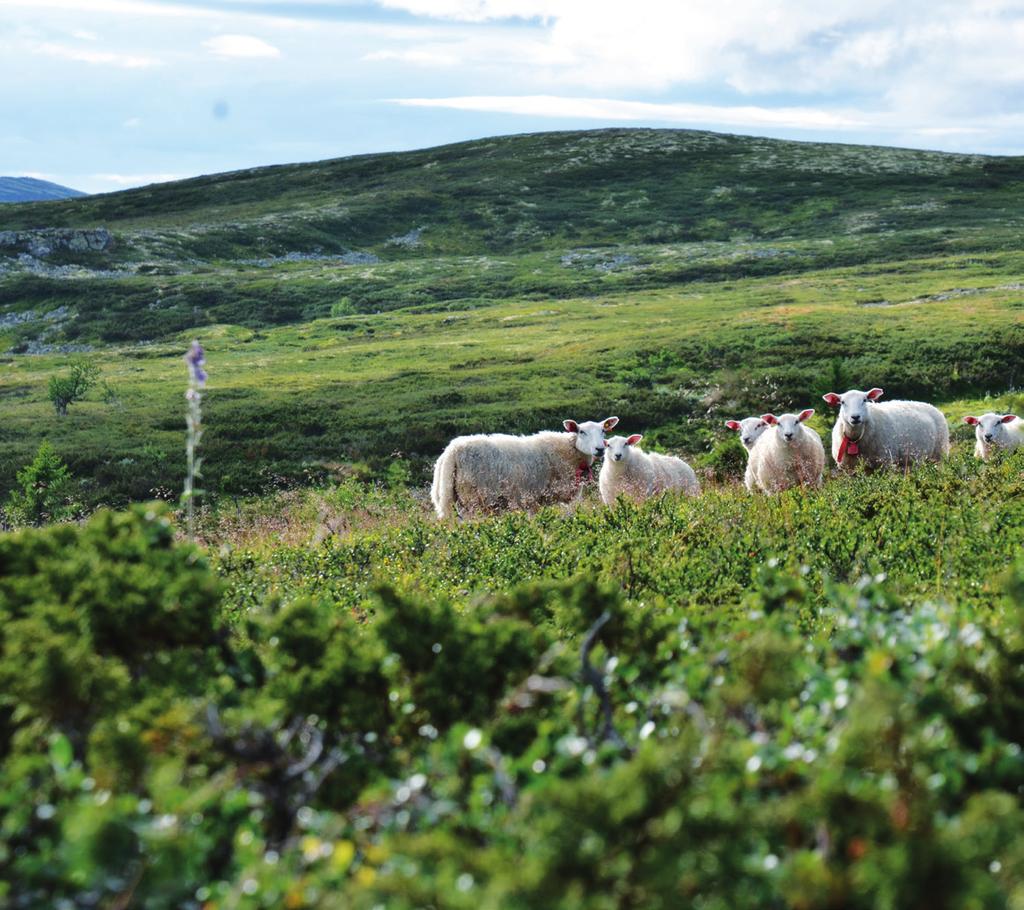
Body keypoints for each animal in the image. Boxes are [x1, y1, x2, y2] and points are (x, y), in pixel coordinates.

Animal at [430, 413, 618, 513]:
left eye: (603, 431)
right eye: (581, 432)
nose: (599, 449)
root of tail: (452, 451)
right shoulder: (534, 497)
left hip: (453, 498)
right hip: (474, 497)